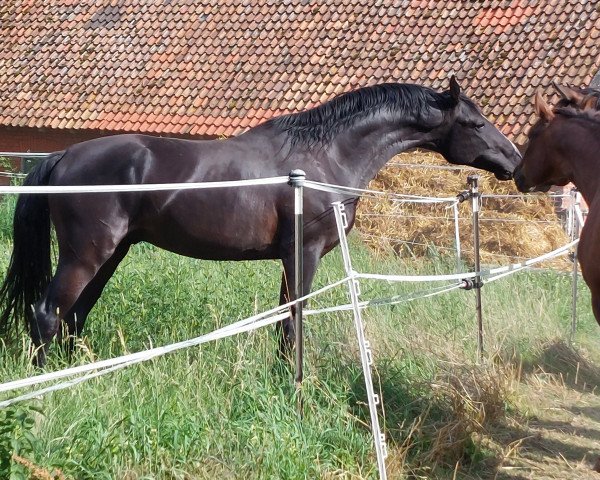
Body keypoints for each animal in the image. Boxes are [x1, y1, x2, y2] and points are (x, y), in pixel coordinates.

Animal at [0, 77, 520, 366]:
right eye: (475, 123)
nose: (514, 160)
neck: (325, 156)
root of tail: (64, 155)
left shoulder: (291, 259)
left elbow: (282, 320)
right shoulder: (302, 254)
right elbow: (293, 322)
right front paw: (293, 383)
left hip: (111, 255)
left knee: (73, 317)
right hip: (86, 255)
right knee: (48, 315)